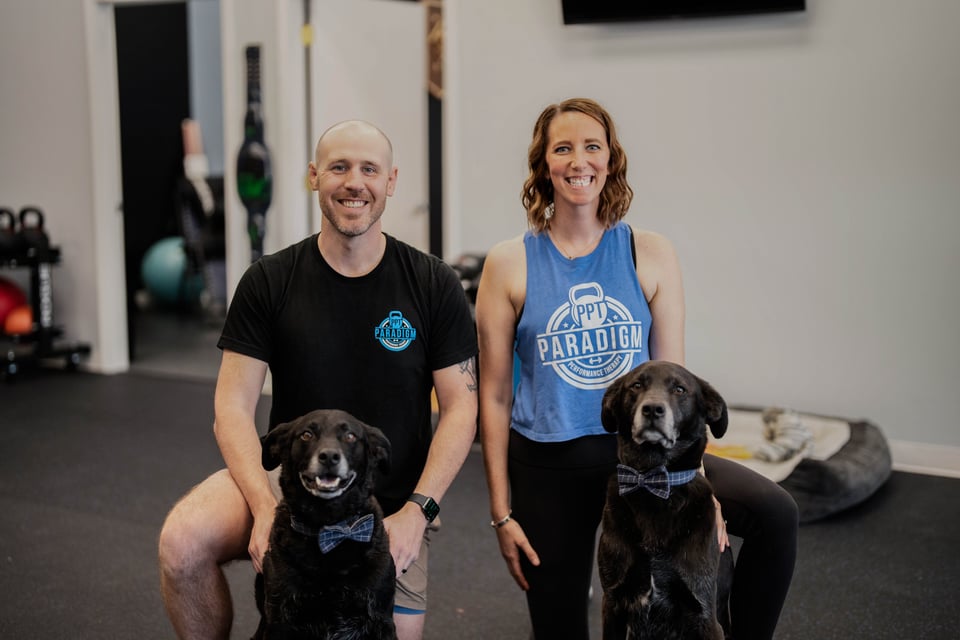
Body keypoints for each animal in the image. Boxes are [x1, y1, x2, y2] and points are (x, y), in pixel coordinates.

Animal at [253, 410, 400, 640]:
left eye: (350, 436)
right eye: (306, 435)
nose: (329, 456)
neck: (329, 528)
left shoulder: (381, 621)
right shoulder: (279, 621)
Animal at [600, 360, 736, 640]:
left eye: (679, 389)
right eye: (636, 385)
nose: (652, 409)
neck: (654, 483)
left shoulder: (704, 615)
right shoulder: (613, 605)